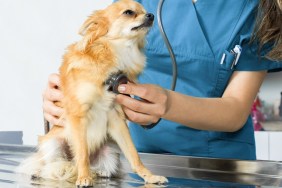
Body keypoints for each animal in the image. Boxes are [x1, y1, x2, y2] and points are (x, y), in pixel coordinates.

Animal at [17, 0, 169, 187]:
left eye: (145, 11)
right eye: (128, 12)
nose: (151, 15)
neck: (116, 55)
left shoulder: (116, 117)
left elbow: (134, 154)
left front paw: (150, 176)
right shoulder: (78, 115)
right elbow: (82, 153)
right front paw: (83, 177)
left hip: (110, 150)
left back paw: (99, 172)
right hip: (52, 142)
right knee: (50, 163)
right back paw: (42, 171)